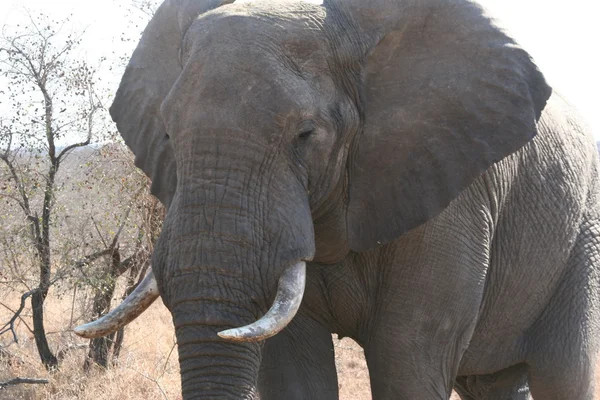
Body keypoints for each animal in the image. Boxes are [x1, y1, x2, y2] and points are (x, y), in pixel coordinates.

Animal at [74, 0, 600, 398]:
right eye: (166, 133)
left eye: (307, 134)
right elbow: (292, 365)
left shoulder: (454, 198)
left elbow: (406, 357)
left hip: (584, 237)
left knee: (564, 373)